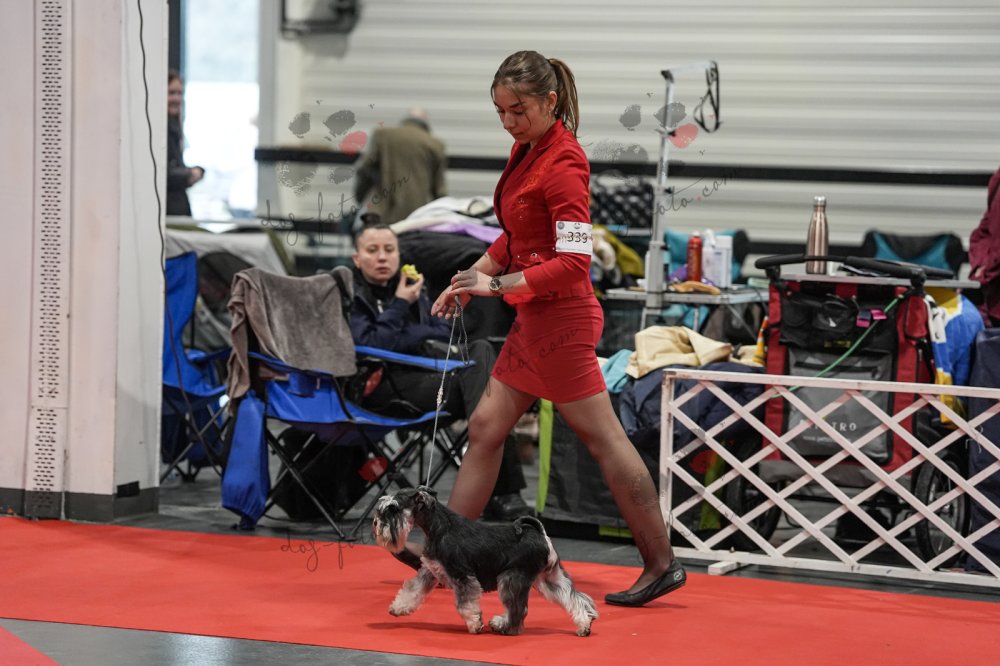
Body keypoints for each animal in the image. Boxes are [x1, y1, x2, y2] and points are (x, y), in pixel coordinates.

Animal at [372, 486, 598, 637]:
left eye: (394, 509)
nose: (376, 523)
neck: (439, 526)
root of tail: (541, 535)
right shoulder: (430, 571)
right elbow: (413, 590)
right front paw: (398, 608)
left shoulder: (462, 576)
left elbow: (465, 604)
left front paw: (474, 624)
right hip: (549, 580)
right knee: (574, 599)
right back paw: (584, 625)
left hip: (510, 579)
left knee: (518, 610)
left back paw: (505, 626)